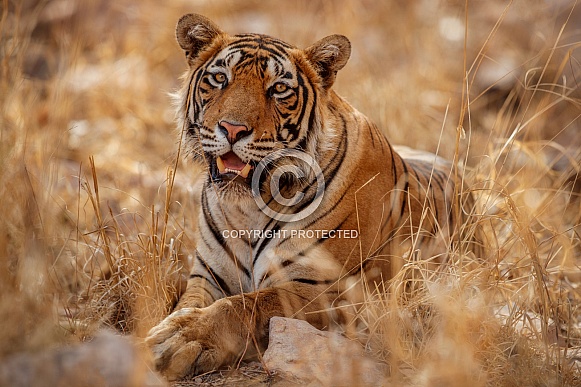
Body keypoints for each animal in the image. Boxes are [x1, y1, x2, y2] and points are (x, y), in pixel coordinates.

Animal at [145, 13, 480, 380]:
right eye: (219, 78)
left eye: (279, 89)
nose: (232, 129)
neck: (247, 207)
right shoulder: (207, 275)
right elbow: (190, 304)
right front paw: (173, 327)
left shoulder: (324, 289)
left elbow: (243, 305)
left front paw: (179, 339)